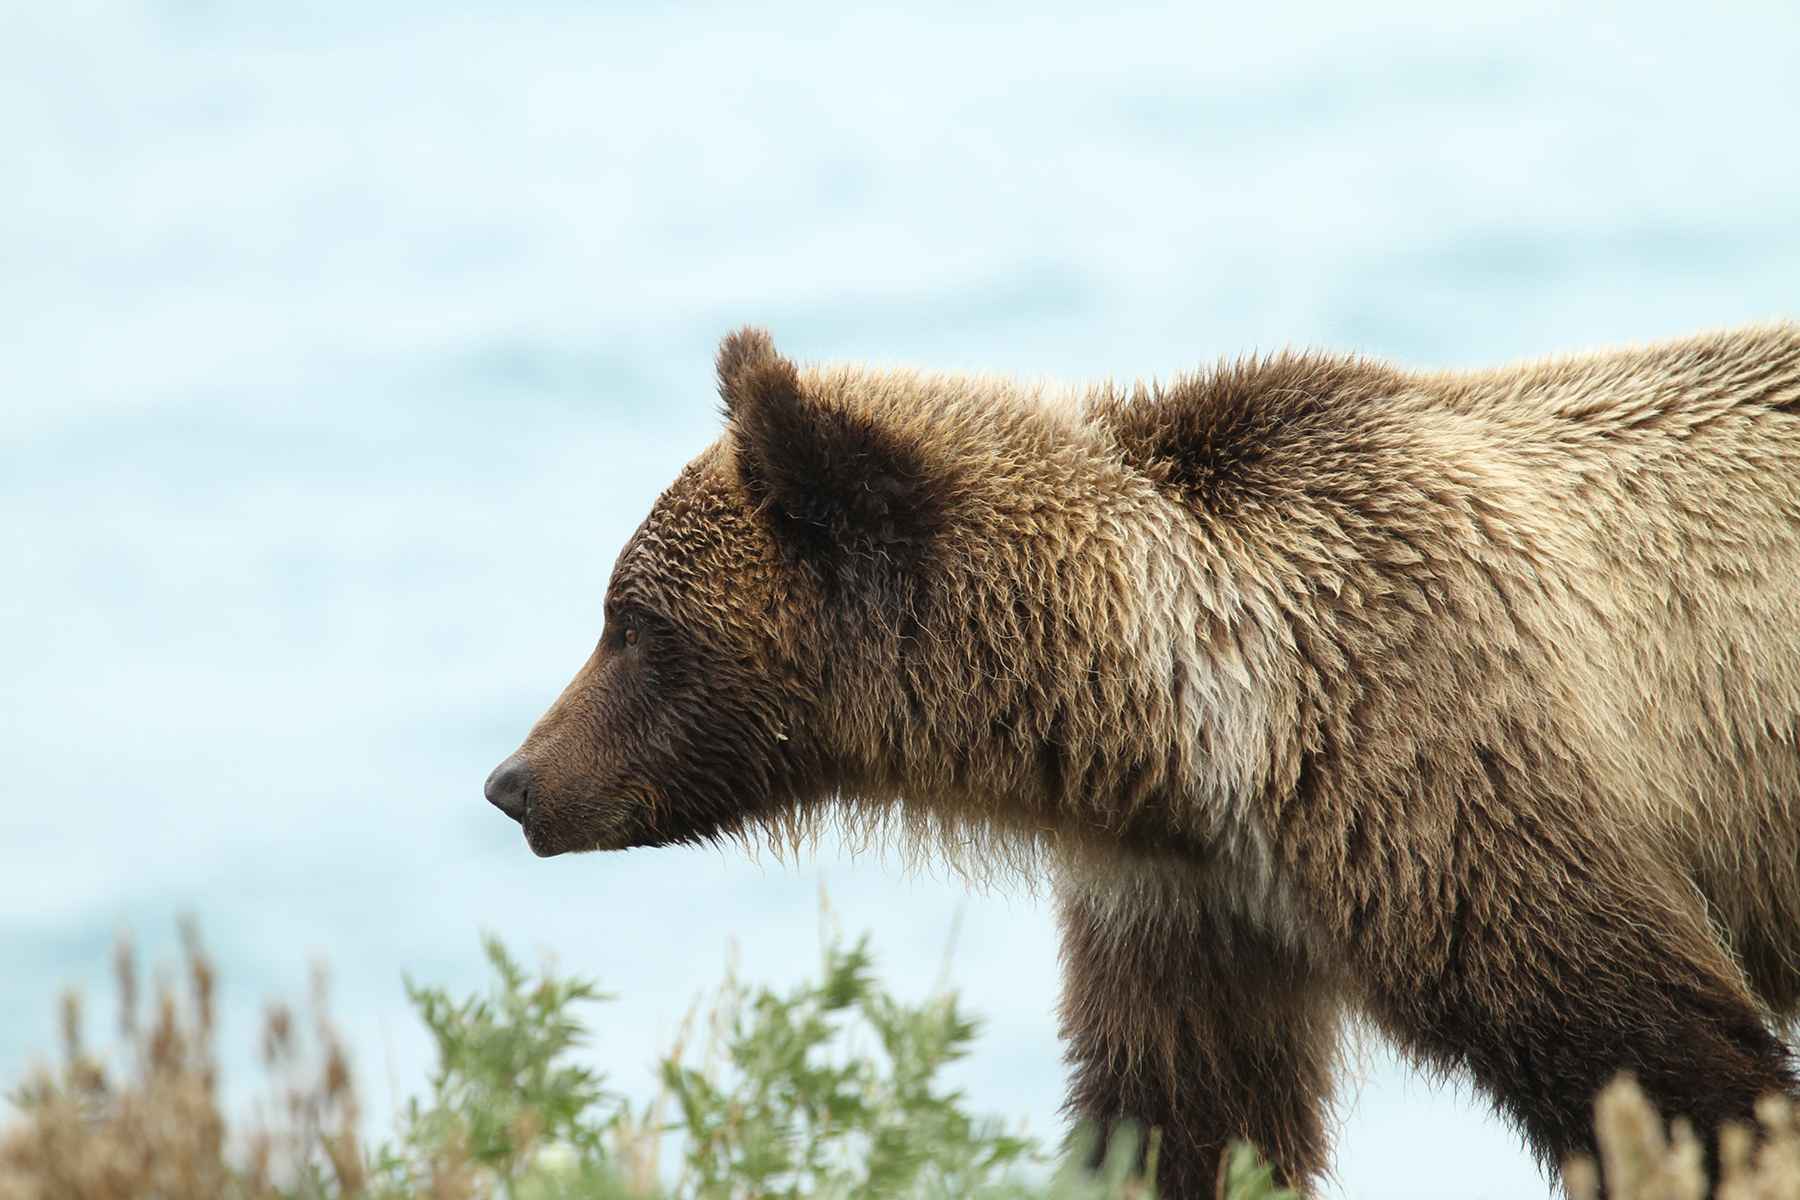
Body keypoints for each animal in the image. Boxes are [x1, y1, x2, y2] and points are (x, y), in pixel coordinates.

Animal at [486, 323, 1800, 1194]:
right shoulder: (1187, 907)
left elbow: (1669, 1069)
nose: (516, 783)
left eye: (630, 623)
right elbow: (1177, 1117)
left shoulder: (1454, 772)